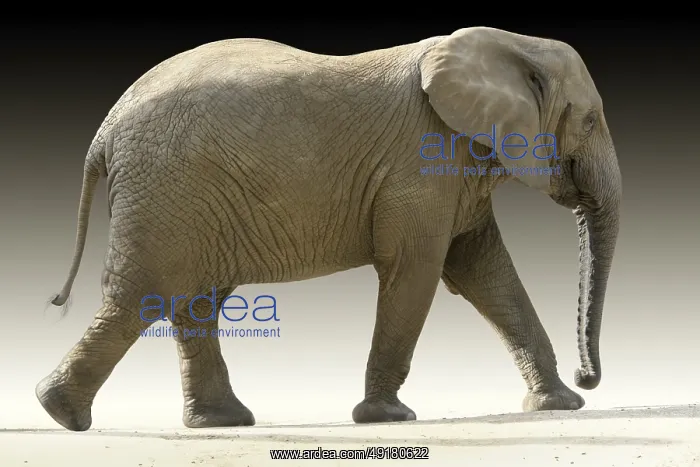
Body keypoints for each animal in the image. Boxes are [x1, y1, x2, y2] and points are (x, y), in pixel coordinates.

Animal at [37, 26, 621, 432]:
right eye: (591, 121)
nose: (588, 376)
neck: (515, 46)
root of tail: (105, 131)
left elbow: (486, 272)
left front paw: (560, 405)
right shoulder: (419, 165)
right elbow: (416, 272)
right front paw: (387, 417)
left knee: (194, 300)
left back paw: (221, 421)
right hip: (166, 190)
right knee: (141, 296)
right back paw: (63, 414)